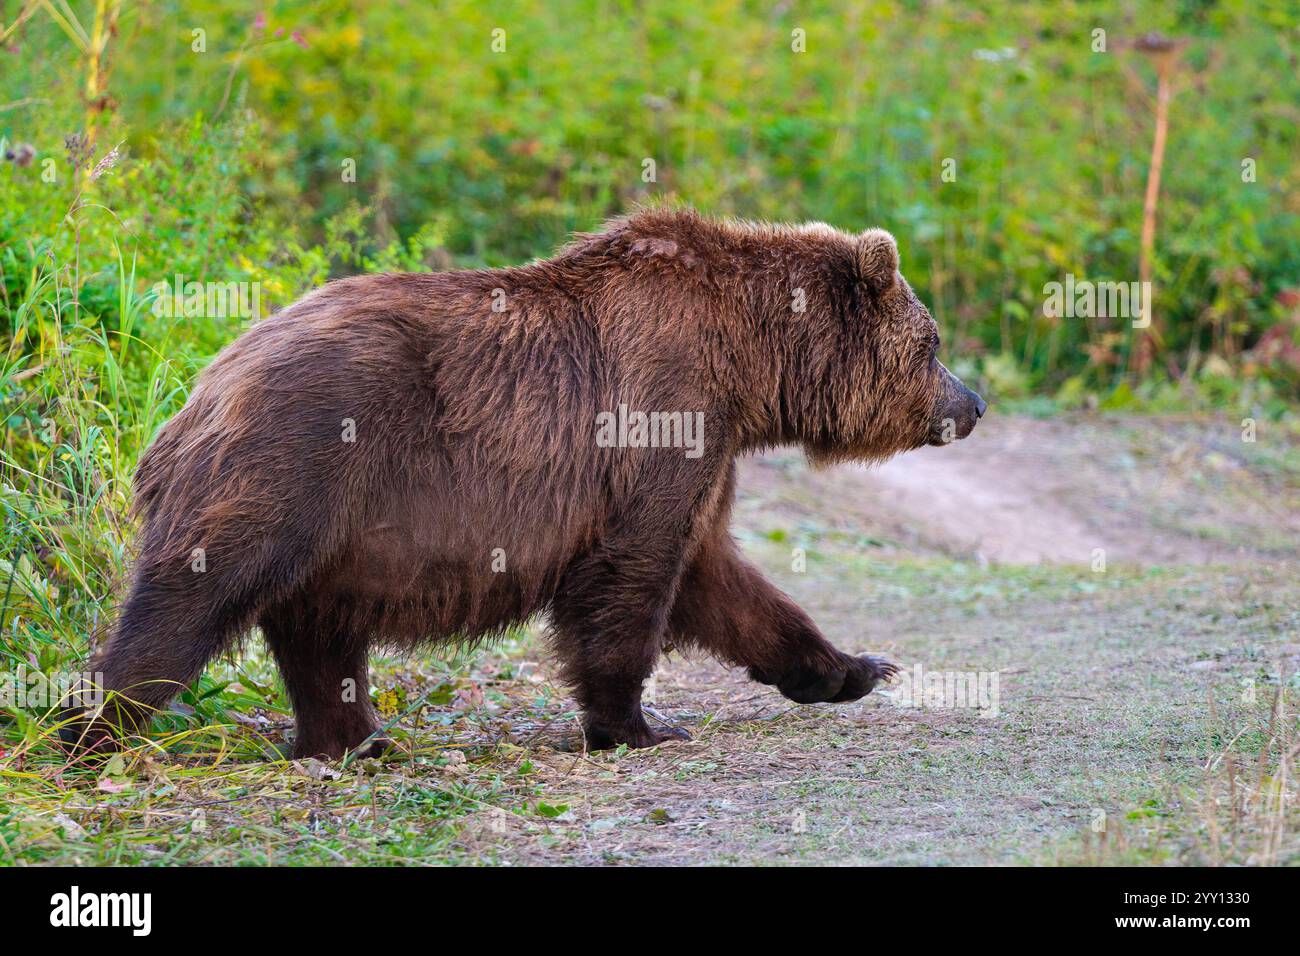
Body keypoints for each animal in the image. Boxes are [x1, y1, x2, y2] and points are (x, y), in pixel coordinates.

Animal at [61, 208, 985, 759]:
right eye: (935, 342)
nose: (973, 402)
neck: (750, 363)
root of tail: (199, 390)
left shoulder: (709, 448)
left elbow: (720, 578)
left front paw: (852, 667)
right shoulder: (659, 416)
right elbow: (632, 578)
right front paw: (640, 723)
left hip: (333, 519)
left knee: (318, 629)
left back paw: (355, 738)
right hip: (295, 459)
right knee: (191, 597)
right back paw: (96, 727)